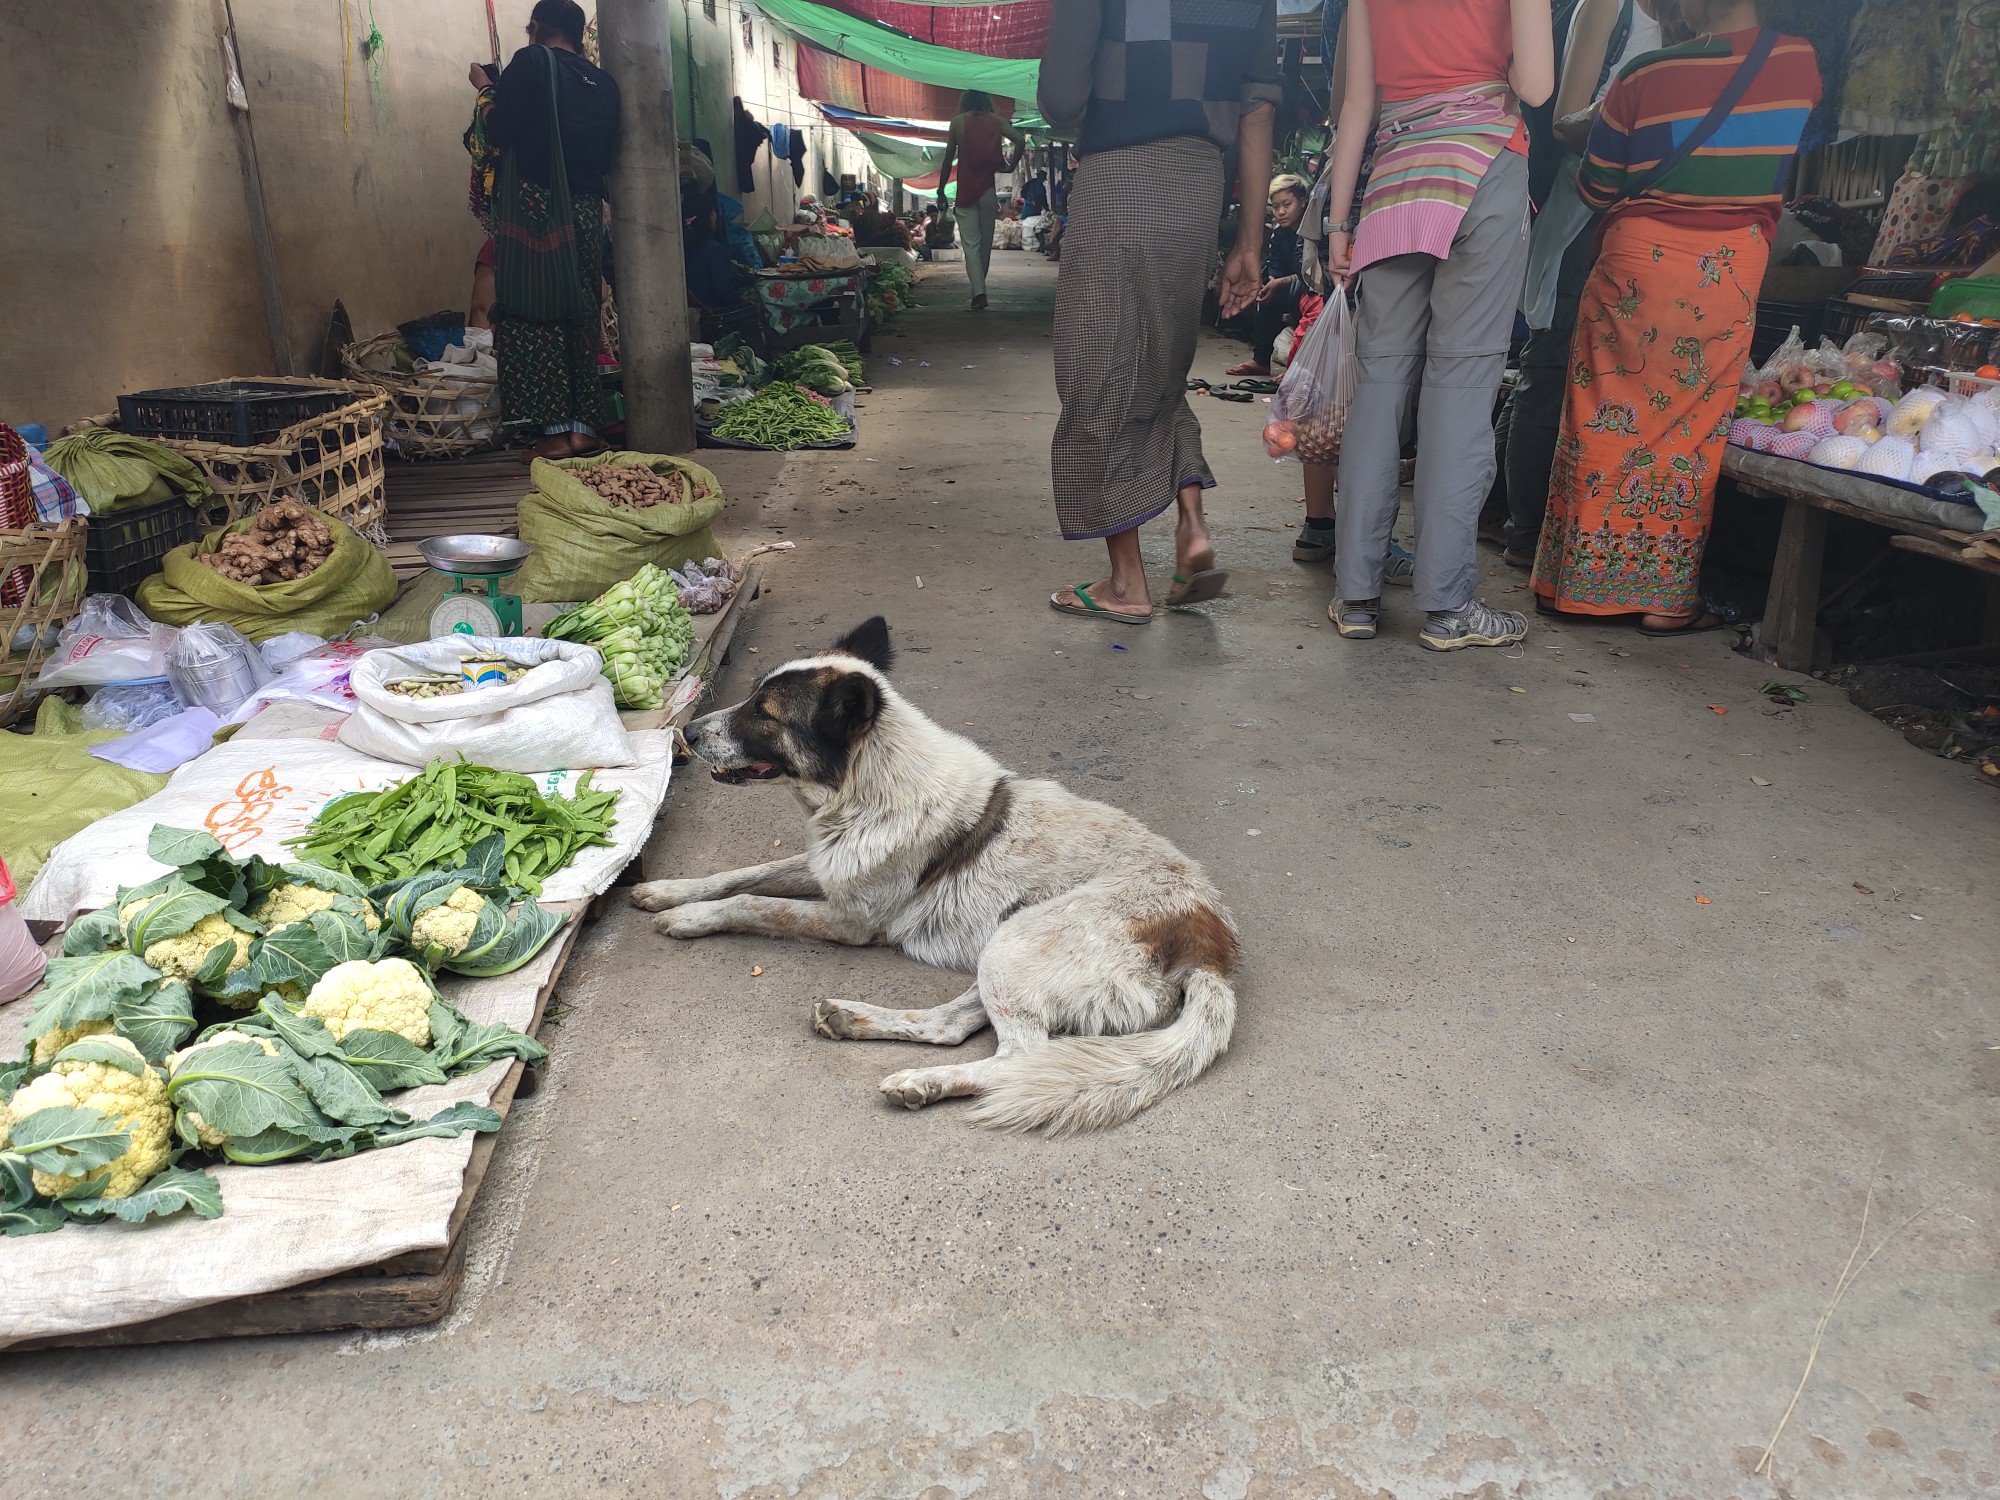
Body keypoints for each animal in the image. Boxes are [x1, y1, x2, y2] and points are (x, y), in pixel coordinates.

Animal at [632, 616, 1240, 1136]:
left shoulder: (850, 921)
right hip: (1007, 947)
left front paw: (689, 917)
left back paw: (925, 1082)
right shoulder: (828, 867)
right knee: (950, 1027)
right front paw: (669, 890)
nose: (686, 732)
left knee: (1022, 1057)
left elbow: (752, 902)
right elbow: (745, 873)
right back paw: (855, 1022)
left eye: (765, 712)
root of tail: (1211, 951)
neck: (869, 787)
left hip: (1017, 941)